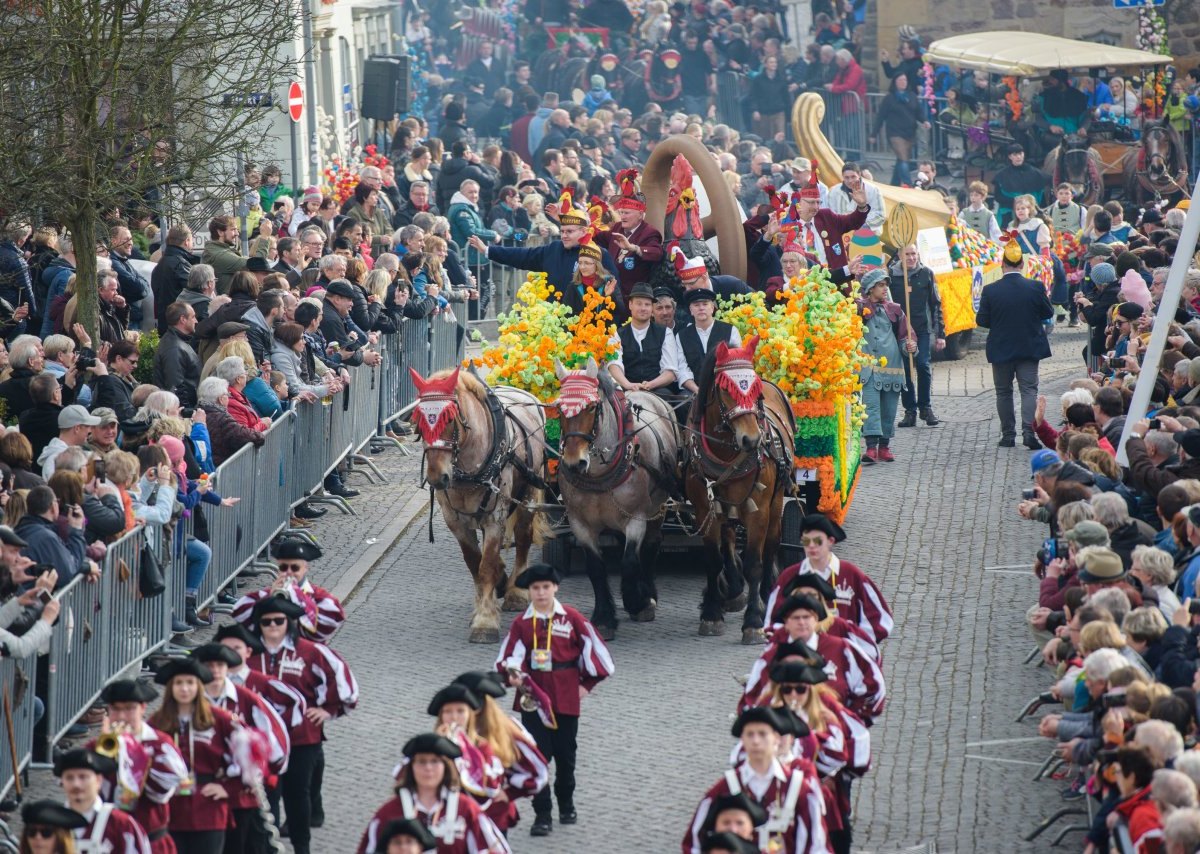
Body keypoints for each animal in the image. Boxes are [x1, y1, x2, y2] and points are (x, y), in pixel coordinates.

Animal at [410, 364, 547, 642]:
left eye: (450, 420)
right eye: (419, 421)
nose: (437, 477)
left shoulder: (495, 518)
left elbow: (486, 566)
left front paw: (485, 622)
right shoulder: (456, 522)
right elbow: (476, 563)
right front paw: (486, 604)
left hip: (528, 494)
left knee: (523, 538)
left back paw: (516, 592)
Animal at [686, 335, 796, 642]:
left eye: (754, 388)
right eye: (725, 390)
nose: (751, 440)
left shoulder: (758, 511)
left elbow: (754, 563)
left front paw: (754, 621)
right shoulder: (705, 510)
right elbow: (713, 560)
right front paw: (712, 613)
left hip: (776, 500)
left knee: (771, 546)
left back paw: (768, 592)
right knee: (729, 537)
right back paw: (732, 590)